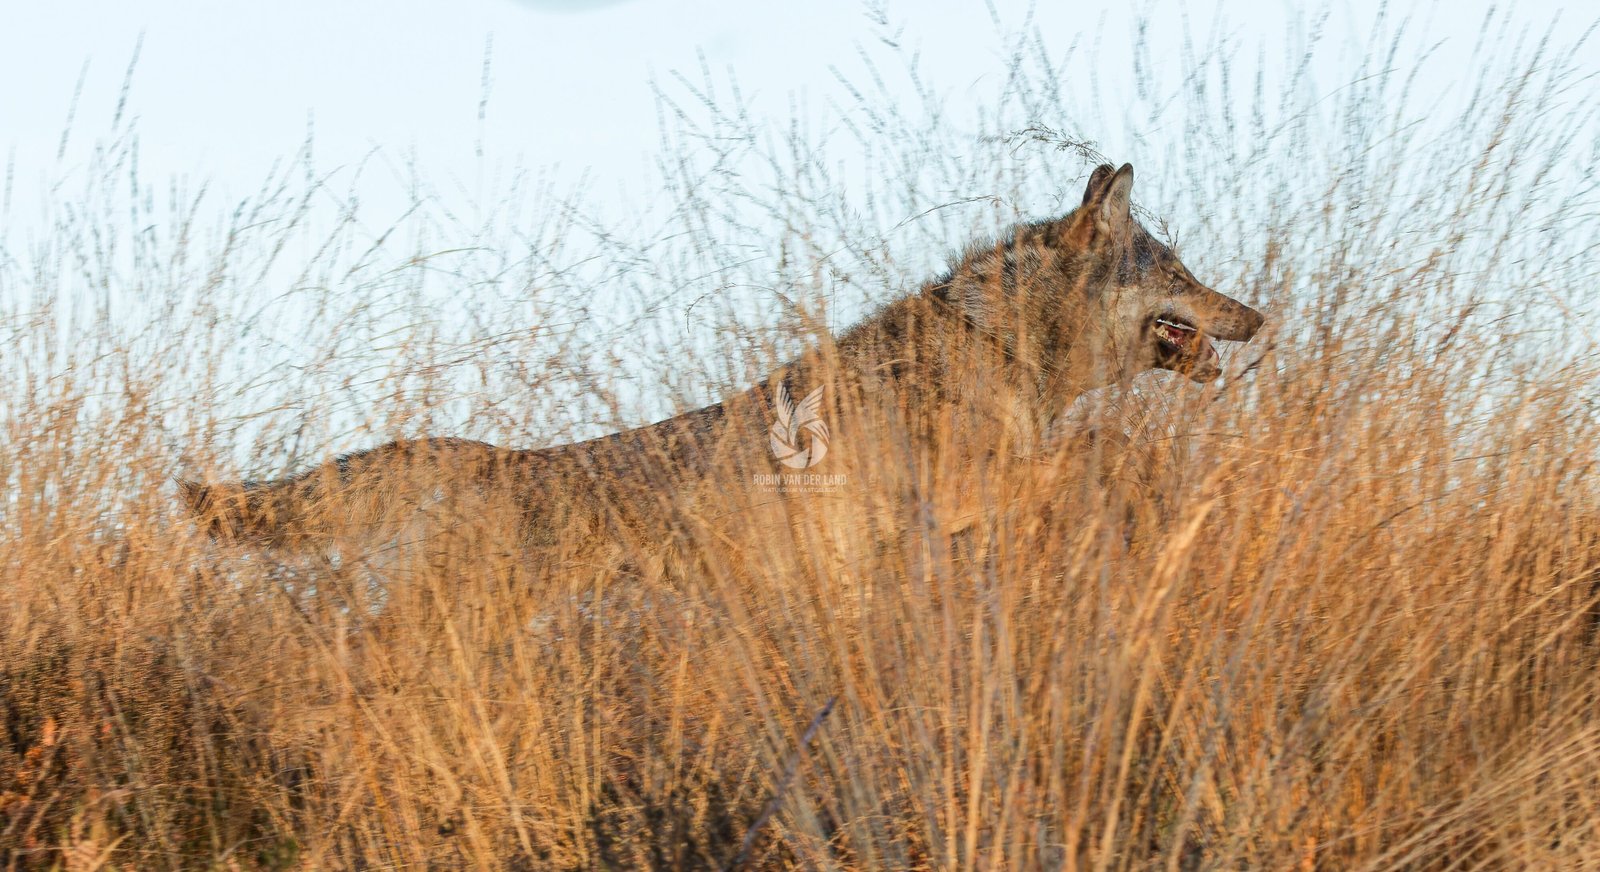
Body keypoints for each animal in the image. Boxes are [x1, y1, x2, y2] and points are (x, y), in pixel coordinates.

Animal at [181, 164, 1267, 556]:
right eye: (1182, 271)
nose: (1260, 317)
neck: (992, 344)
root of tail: (493, 460)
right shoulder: (977, 488)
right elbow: (1103, 451)